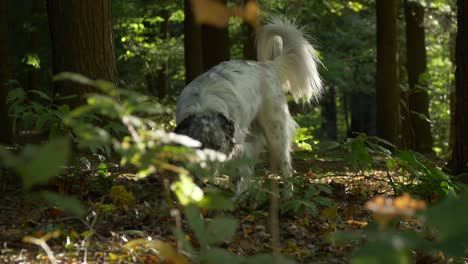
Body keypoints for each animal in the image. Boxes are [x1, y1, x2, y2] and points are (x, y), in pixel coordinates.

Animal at [174, 18, 324, 192]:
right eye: (198, 147)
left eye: (217, 146)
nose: (204, 176)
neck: (203, 106)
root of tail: (266, 66)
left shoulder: (235, 147)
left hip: (276, 134)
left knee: (286, 168)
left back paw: (287, 195)